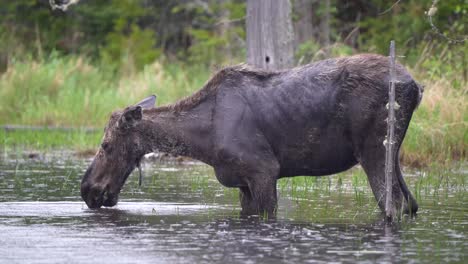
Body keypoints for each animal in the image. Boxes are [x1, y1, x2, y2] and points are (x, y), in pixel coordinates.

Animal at [79, 53, 420, 217]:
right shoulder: (242, 183)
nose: (87, 190)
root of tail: (415, 86)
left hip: (374, 151)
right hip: (394, 155)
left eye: (105, 145)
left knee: (392, 205)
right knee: (410, 204)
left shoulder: (264, 171)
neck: (202, 140)